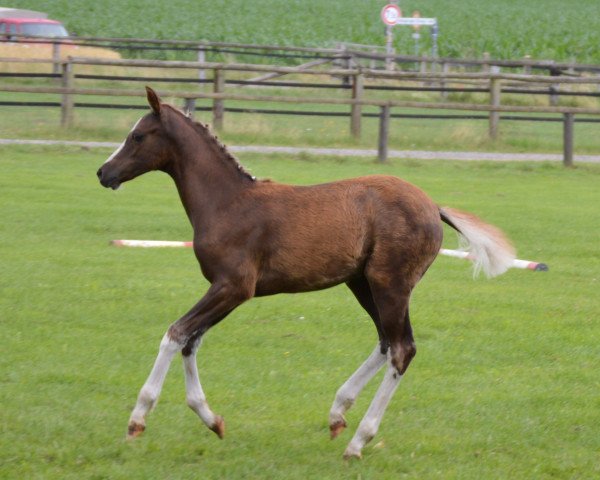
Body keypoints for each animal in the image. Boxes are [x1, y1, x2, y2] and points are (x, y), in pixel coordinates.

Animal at [96, 88, 512, 460]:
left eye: (137, 135)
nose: (103, 172)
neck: (226, 203)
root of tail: (433, 206)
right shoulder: (223, 290)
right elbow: (190, 341)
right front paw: (212, 421)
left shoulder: (234, 287)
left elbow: (175, 334)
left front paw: (137, 421)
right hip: (362, 283)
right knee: (386, 342)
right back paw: (338, 412)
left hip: (390, 284)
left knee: (402, 349)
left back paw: (357, 442)